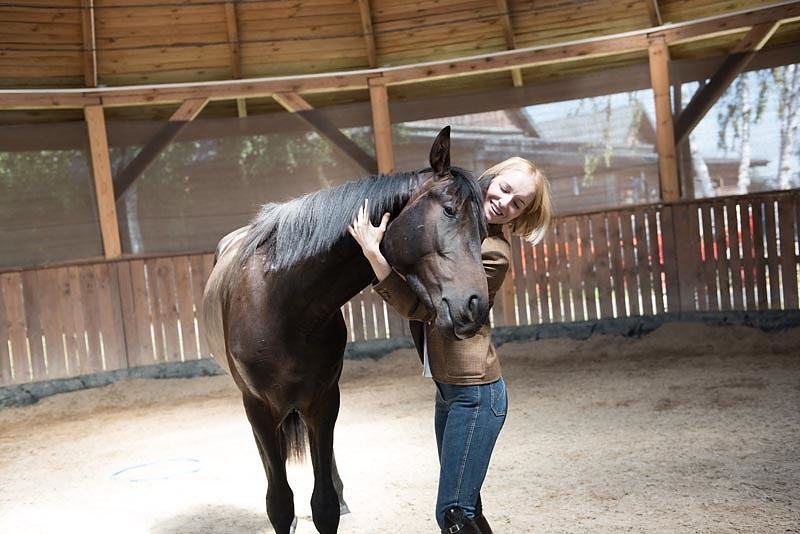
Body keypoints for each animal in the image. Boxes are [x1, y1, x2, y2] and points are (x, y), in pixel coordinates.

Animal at [202, 126, 490, 534]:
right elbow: (280, 503)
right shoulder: (258, 407)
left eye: (483, 229)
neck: (283, 304)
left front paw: (332, 498)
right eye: (449, 210)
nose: (476, 304)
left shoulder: (325, 401)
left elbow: (324, 504)